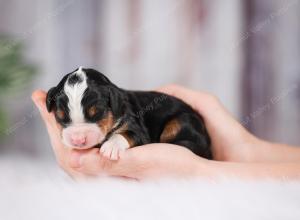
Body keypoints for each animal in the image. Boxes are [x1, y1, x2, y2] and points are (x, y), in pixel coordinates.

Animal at [47, 66, 211, 160]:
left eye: (97, 113)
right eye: (60, 116)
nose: (78, 140)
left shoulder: (139, 129)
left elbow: (127, 134)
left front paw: (111, 146)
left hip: (181, 121)